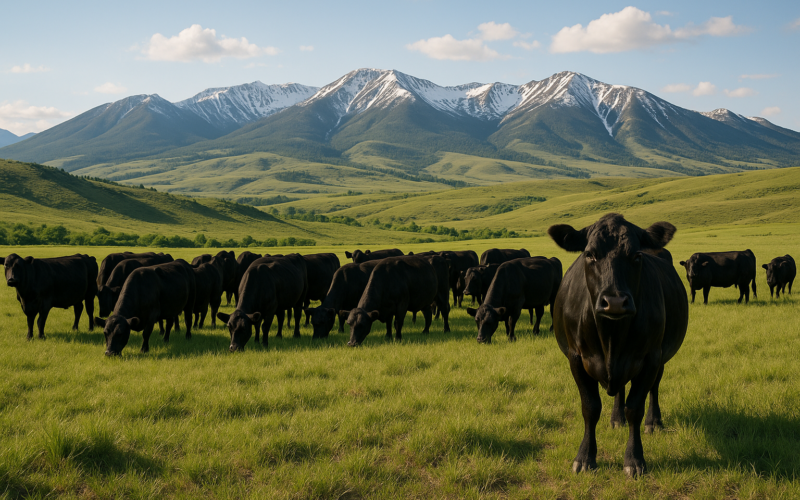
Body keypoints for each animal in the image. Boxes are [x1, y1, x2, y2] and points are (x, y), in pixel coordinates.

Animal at [548, 213, 688, 477]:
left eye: (636, 255)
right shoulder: (576, 357)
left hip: (661, 356)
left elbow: (635, 407)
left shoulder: (651, 357)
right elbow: (590, 407)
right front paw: (585, 457)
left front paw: (634, 459)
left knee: (654, 388)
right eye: (590, 254)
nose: (614, 302)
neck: (611, 336)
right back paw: (616, 418)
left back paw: (653, 422)